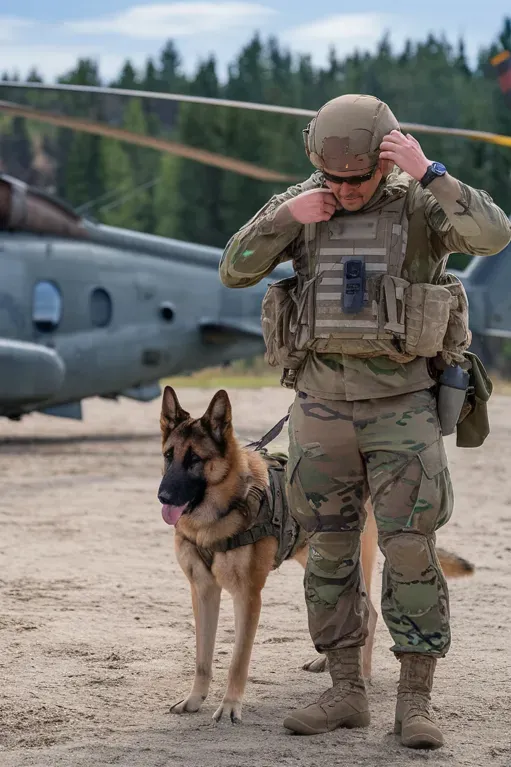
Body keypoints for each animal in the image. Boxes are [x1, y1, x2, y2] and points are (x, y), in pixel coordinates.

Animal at [157, 388, 476, 724]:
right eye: (169, 455)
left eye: (195, 459)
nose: (162, 497)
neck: (219, 512)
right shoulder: (203, 593)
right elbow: (202, 657)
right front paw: (194, 699)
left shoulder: (248, 597)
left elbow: (237, 661)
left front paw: (230, 706)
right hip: (317, 557)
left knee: (370, 612)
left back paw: (362, 675)